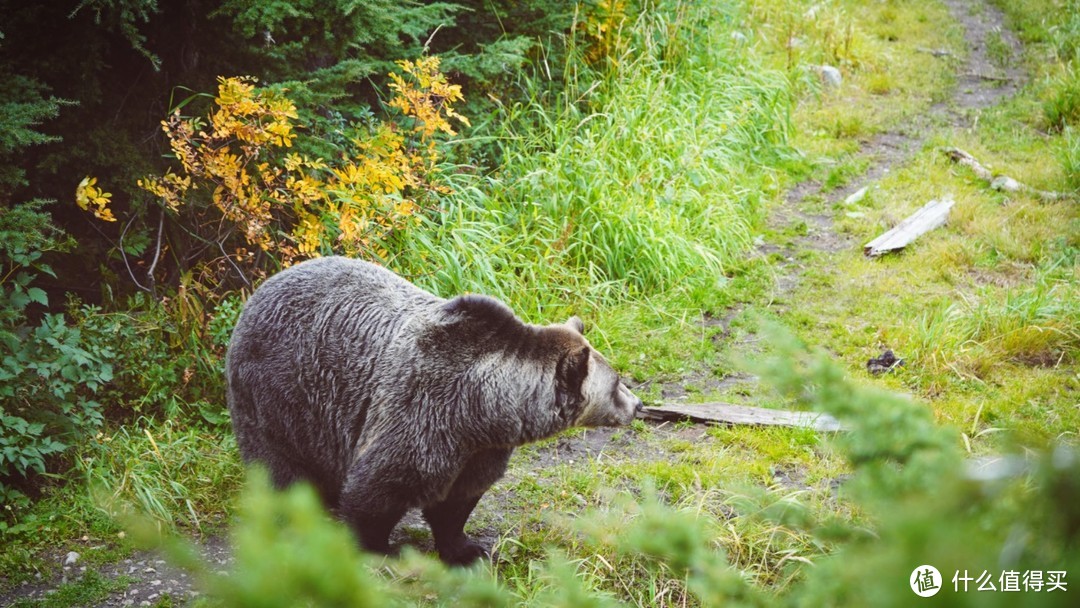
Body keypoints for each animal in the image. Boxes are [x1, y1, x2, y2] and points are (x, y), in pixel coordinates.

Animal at [222, 255, 635, 565]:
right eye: (616, 383)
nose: (637, 404)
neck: (483, 408)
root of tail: (261, 288)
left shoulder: (478, 449)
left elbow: (457, 501)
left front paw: (467, 550)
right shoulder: (423, 412)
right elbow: (376, 489)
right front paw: (377, 547)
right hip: (280, 393)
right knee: (278, 463)